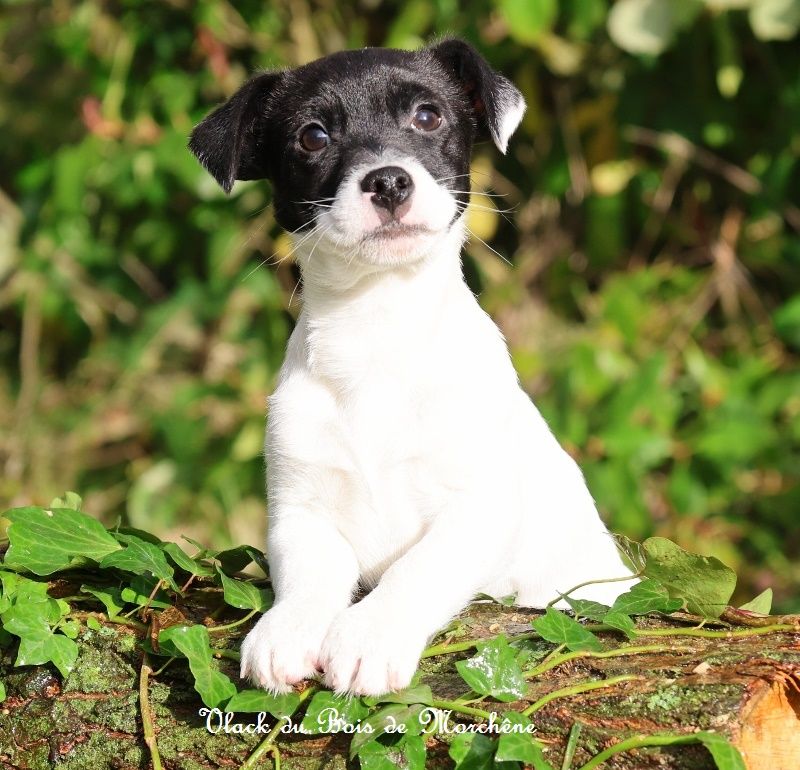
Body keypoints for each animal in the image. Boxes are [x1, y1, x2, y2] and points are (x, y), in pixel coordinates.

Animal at [191, 40, 636, 696]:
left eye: (427, 117)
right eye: (313, 136)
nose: (388, 180)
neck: (377, 332)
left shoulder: (478, 506)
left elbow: (419, 570)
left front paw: (369, 636)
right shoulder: (302, 510)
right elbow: (309, 575)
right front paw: (287, 628)